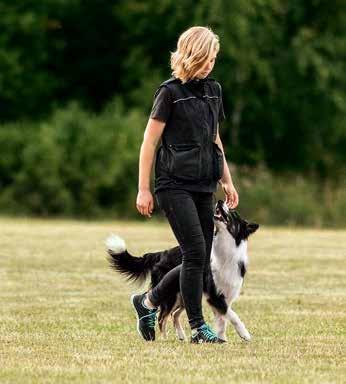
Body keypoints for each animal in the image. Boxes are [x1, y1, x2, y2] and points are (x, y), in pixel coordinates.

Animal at [107, 201, 258, 342]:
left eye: (234, 213)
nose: (220, 201)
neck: (227, 249)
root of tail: (162, 253)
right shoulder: (215, 295)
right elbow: (232, 315)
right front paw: (244, 334)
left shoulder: (226, 295)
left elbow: (222, 321)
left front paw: (222, 338)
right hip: (171, 295)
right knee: (161, 316)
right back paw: (163, 338)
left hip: (184, 294)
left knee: (174, 314)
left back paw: (180, 336)